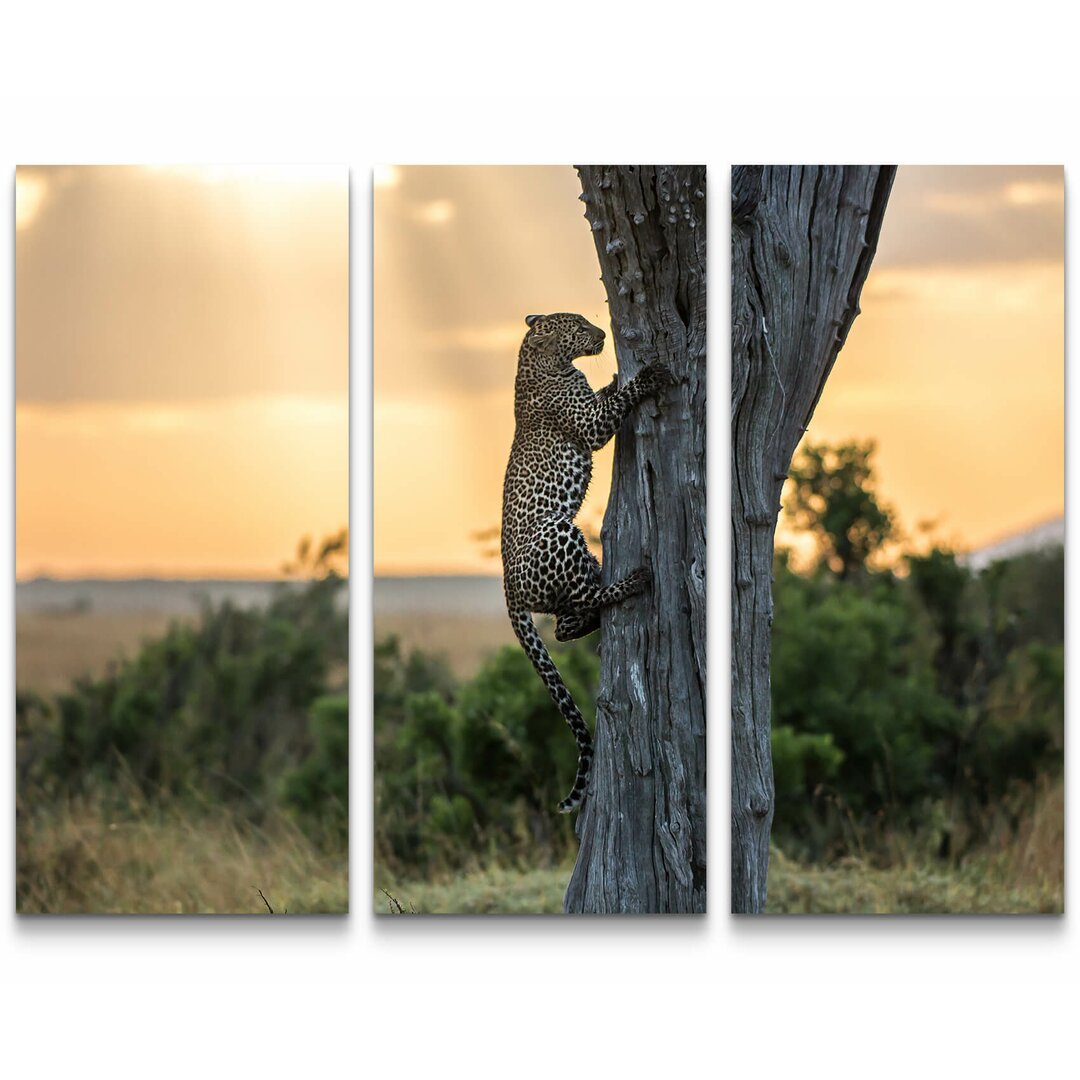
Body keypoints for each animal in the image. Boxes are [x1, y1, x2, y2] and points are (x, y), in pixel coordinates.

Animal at [498, 313, 669, 812]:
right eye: (576, 325)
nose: (603, 334)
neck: (544, 363)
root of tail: (508, 590)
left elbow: (608, 395)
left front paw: (613, 378)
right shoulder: (590, 425)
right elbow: (618, 403)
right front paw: (646, 376)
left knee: (566, 620)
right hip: (559, 531)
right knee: (579, 605)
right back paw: (635, 581)